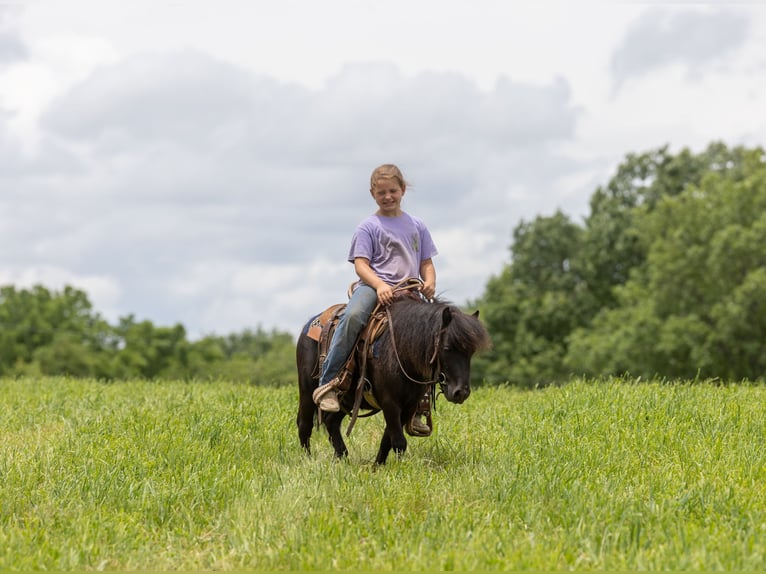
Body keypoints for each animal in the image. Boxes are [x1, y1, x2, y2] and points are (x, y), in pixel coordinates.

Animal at [296, 294, 491, 464]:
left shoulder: (408, 406)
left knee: (331, 421)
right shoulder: (390, 402)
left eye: (471, 352)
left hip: (347, 399)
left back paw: (342, 457)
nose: (461, 392)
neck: (401, 350)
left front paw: (377, 466)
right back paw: (308, 460)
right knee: (304, 424)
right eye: (447, 347)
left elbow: (388, 439)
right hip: (307, 391)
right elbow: (398, 441)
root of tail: (309, 325)